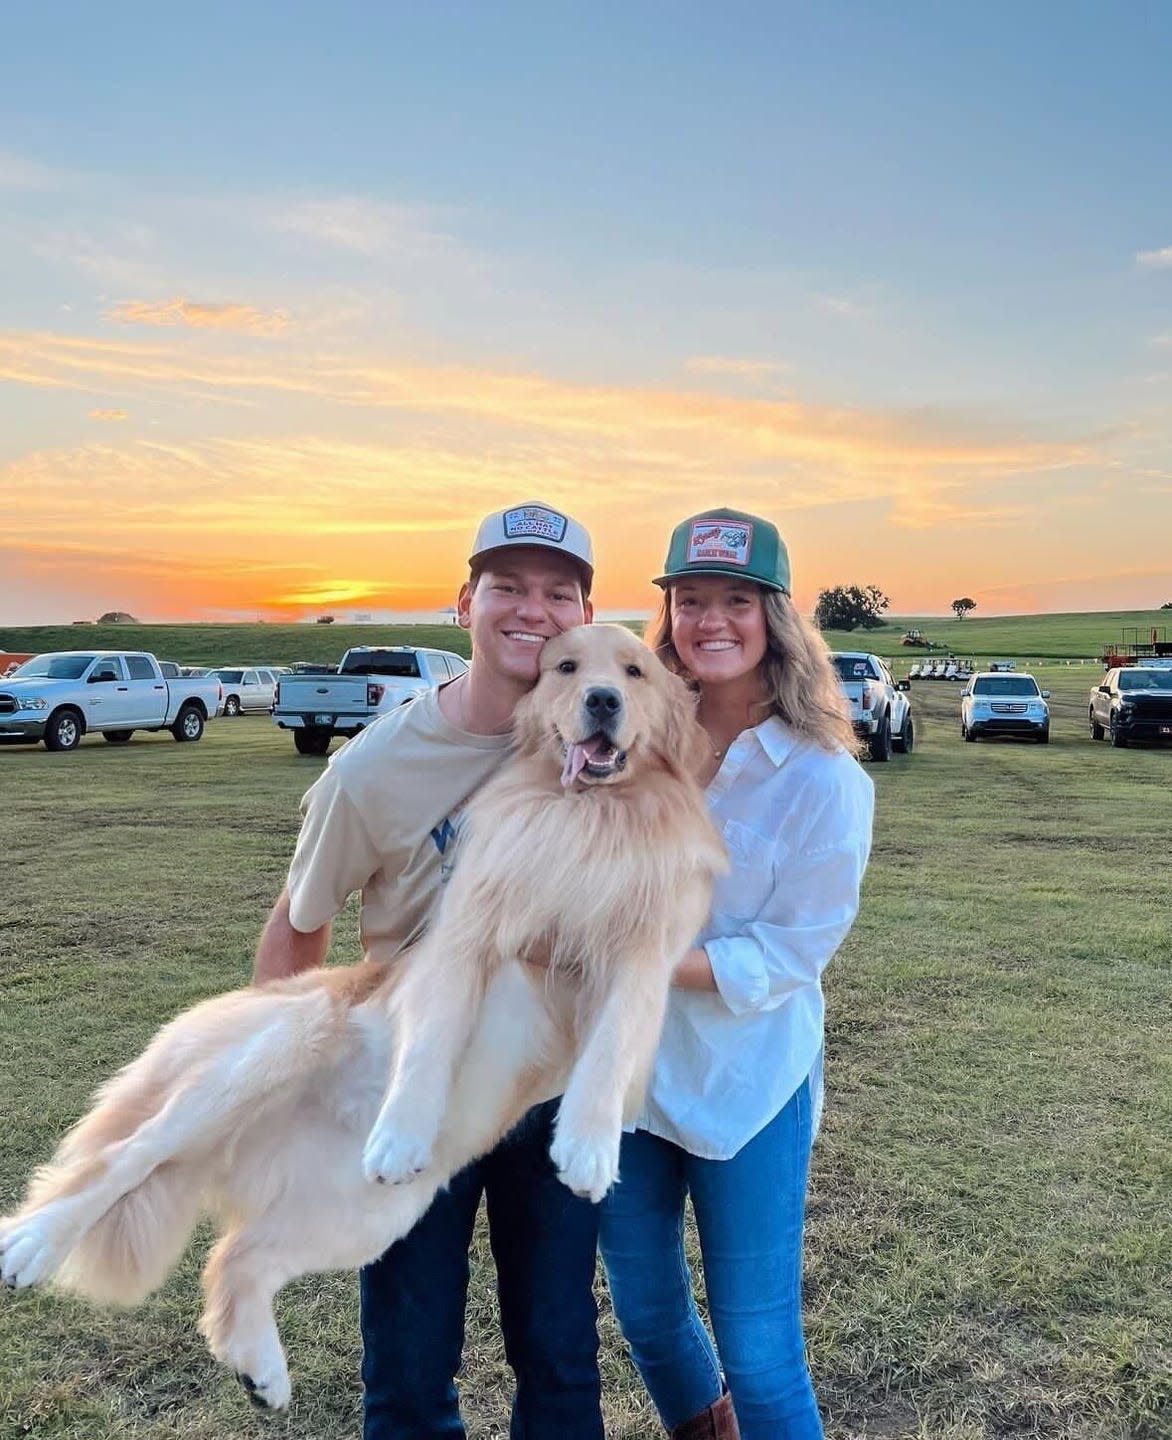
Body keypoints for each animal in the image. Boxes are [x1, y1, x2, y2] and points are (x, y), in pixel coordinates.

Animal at [0, 622, 728, 1405]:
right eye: (566, 667)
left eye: (634, 672)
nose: (602, 699)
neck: (589, 816)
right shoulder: (468, 934)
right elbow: (433, 1038)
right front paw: (401, 1134)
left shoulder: (642, 958)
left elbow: (611, 1049)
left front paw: (588, 1150)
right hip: (259, 1064)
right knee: (124, 1160)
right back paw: (31, 1246)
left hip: (366, 1217)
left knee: (237, 1256)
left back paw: (263, 1371)